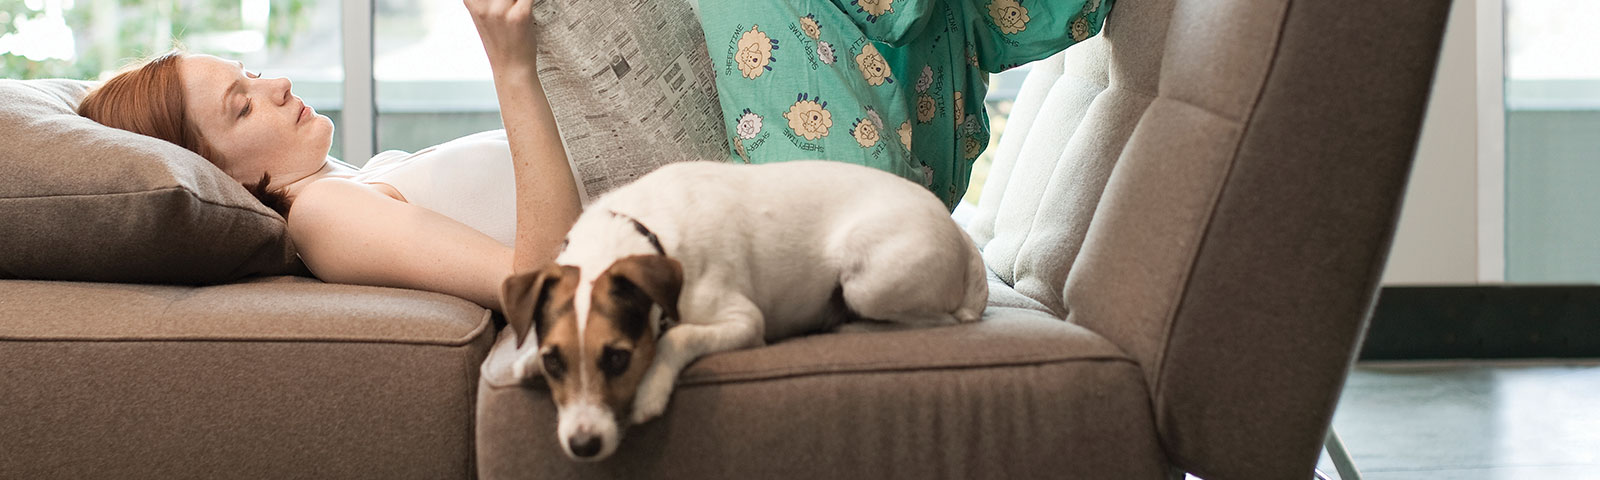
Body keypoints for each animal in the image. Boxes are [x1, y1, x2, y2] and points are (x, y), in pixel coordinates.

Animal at [499, 160, 985, 460]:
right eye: (554, 361)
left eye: (619, 359)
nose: (583, 446)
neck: (643, 234)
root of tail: (964, 241)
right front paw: (525, 362)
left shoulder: (744, 321)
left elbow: (677, 336)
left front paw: (652, 388)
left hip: (867, 279)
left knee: (937, 321)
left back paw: (848, 327)